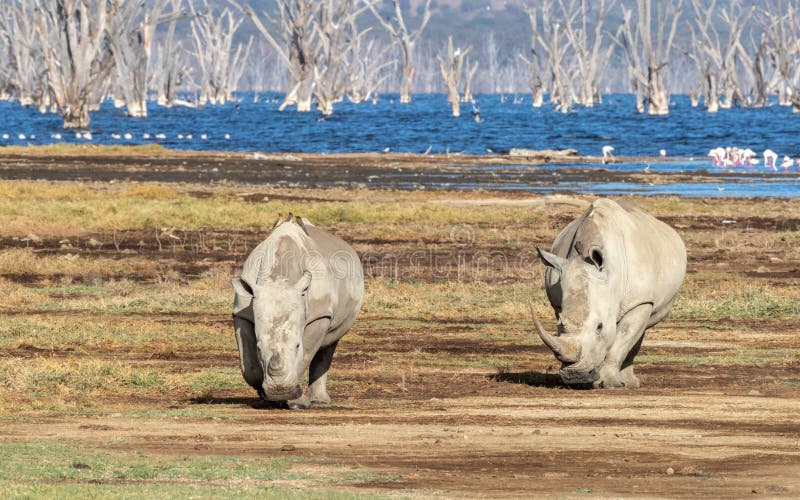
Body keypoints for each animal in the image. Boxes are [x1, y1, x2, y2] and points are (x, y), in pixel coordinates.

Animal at [230, 214, 364, 406]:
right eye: (258, 348)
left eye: (297, 345)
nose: (279, 391)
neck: (278, 280)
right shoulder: (241, 313)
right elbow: (249, 364)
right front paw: (264, 394)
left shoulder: (319, 315)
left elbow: (305, 354)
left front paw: (296, 403)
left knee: (330, 341)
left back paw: (318, 402)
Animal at [532, 201, 688, 388]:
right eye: (560, 326)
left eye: (600, 327)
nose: (575, 376)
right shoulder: (558, 302)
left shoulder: (640, 300)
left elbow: (622, 339)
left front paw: (610, 383)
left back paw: (630, 383)